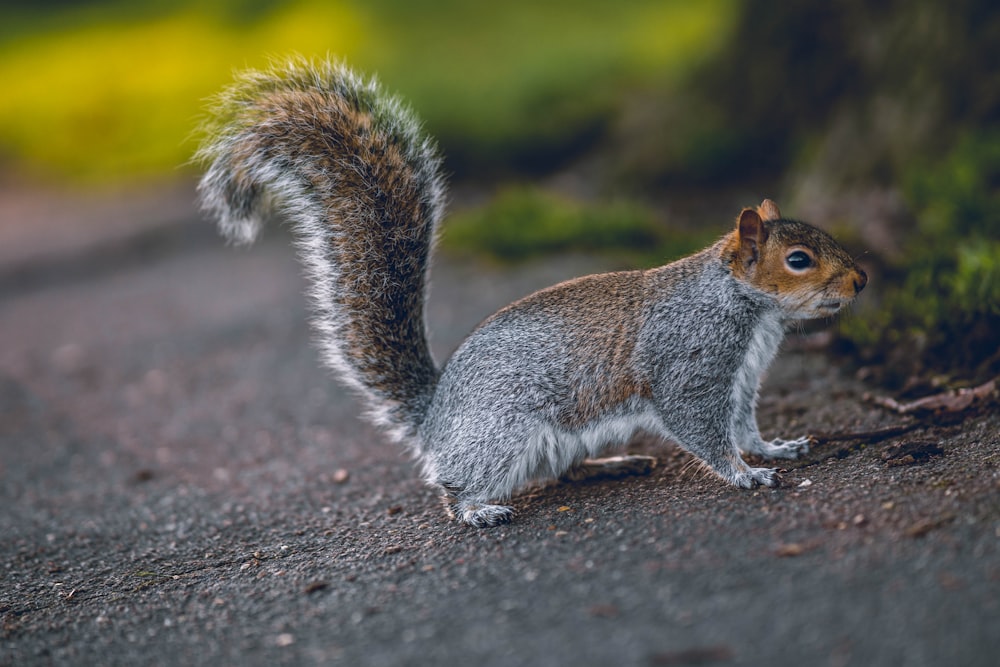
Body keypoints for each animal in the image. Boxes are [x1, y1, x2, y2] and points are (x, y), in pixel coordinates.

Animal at [197, 57, 868, 528]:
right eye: (799, 260)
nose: (861, 279)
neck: (743, 307)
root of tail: (435, 416)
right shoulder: (690, 364)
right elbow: (702, 427)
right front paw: (743, 474)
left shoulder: (742, 378)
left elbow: (745, 424)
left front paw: (774, 448)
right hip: (501, 435)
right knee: (453, 484)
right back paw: (477, 509)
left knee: (562, 473)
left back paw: (614, 463)